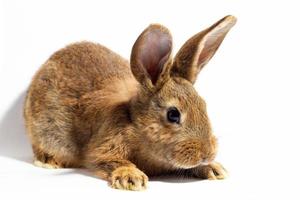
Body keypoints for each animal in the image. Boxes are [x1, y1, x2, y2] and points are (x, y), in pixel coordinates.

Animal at [24, 14, 237, 190]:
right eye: (173, 114)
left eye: (204, 106)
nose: (207, 154)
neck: (136, 125)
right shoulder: (104, 148)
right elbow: (109, 161)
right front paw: (131, 178)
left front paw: (214, 169)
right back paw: (48, 161)